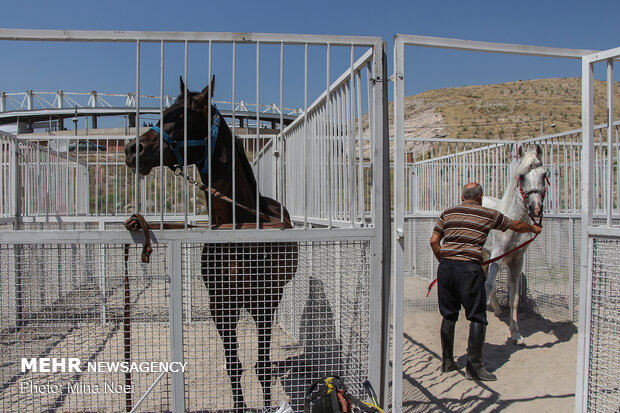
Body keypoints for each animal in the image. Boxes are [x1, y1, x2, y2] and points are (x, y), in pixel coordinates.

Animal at [123, 77, 298, 408]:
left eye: (182, 116)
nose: (132, 149)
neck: (238, 230)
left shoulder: (264, 303)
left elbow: (262, 367)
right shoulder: (220, 305)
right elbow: (234, 366)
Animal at [484, 145, 548, 344]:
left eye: (544, 174)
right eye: (522, 176)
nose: (536, 208)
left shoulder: (517, 260)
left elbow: (515, 297)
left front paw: (516, 333)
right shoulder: (497, 256)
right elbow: (489, 285)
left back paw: (497, 309)